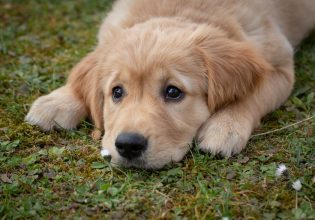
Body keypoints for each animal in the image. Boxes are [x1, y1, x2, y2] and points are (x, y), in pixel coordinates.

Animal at [25, 0, 315, 168]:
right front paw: (57, 101)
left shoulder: (279, 66)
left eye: (173, 92)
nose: (128, 145)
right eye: (116, 92)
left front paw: (225, 126)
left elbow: (252, 94)